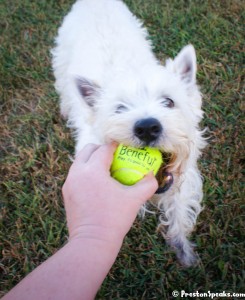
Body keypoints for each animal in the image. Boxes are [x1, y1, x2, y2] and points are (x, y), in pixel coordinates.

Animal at [52, 0, 207, 268]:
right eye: (119, 109)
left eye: (169, 101)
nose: (147, 127)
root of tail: (93, 2)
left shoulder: (184, 178)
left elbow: (179, 209)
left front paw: (184, 251)